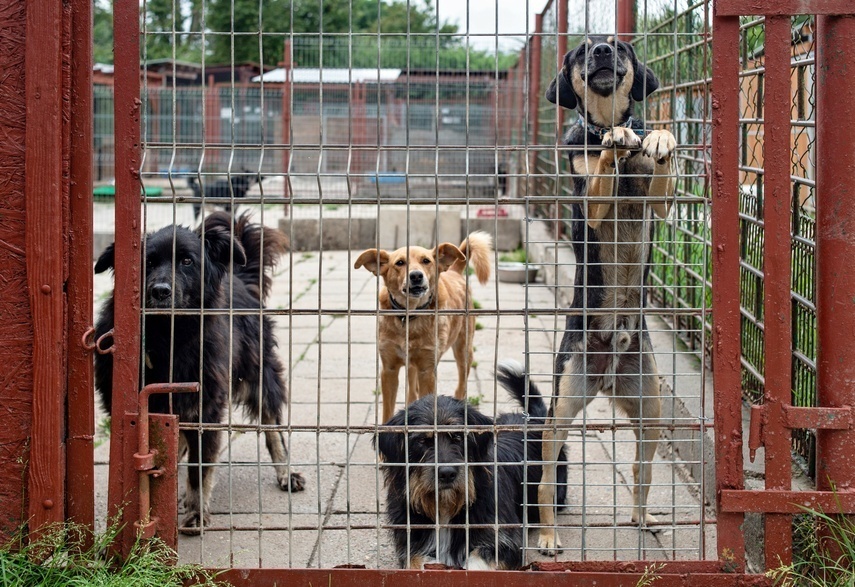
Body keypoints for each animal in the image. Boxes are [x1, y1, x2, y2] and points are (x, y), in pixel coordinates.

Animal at [93, 214, 306, 536]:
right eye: (148, 262)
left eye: (187, 261)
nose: (160, 291)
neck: (167, 338)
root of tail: (239, 276)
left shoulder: (206, 407)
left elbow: (199, 467)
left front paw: (196, 513)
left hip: (260, 377)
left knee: (273, 429)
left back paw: (286, 472)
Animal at [354, 231, 492, 422]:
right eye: (400, 263)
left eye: (426, 261)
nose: (416, 276)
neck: (409, 318)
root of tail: (454, 271)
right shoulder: (389, 369)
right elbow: (389, 409)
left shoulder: (427, 371)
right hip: (413, 365)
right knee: (412, 391)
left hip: (463, 351)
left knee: (461, 386)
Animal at [376, 360, 568, 572]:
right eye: (422, 441)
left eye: (459, 437)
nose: (447, 473)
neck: (446, 509)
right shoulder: (410, 542)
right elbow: (416, 562)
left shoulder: (505, 540)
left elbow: (478, 562)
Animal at [536, 36, 676, 556]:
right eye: (579, 51)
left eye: (619, 47)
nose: (598, 49)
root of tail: (607, 375)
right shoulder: (589, 197)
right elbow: (599, 167)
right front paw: (612, 143)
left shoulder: (659, 200)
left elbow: (658, 156)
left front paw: (656, 139)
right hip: (561, 408)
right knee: (543, 484)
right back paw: (548, 536)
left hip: (651, 408)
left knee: (641, 469)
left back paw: (643, 516)